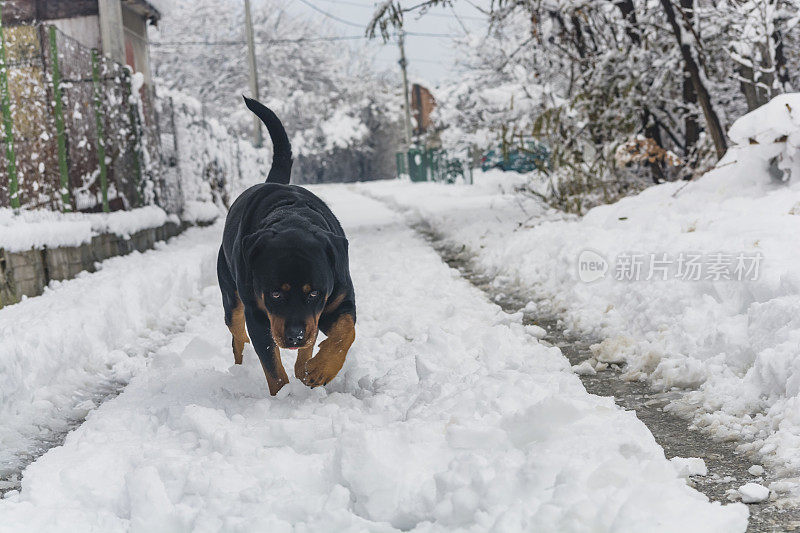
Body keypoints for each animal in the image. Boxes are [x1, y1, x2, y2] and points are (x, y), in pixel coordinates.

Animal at [219, 96, 356, 394]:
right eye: (275, 294)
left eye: (314, 292)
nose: (295, 335)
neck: (292, 218)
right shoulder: (258, 314)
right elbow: (272, 366)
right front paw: (283, 397)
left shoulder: (339, 297)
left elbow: (345, 331)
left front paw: (318, 369)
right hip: (231, 297)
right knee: (237, 334)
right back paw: (240, 369)